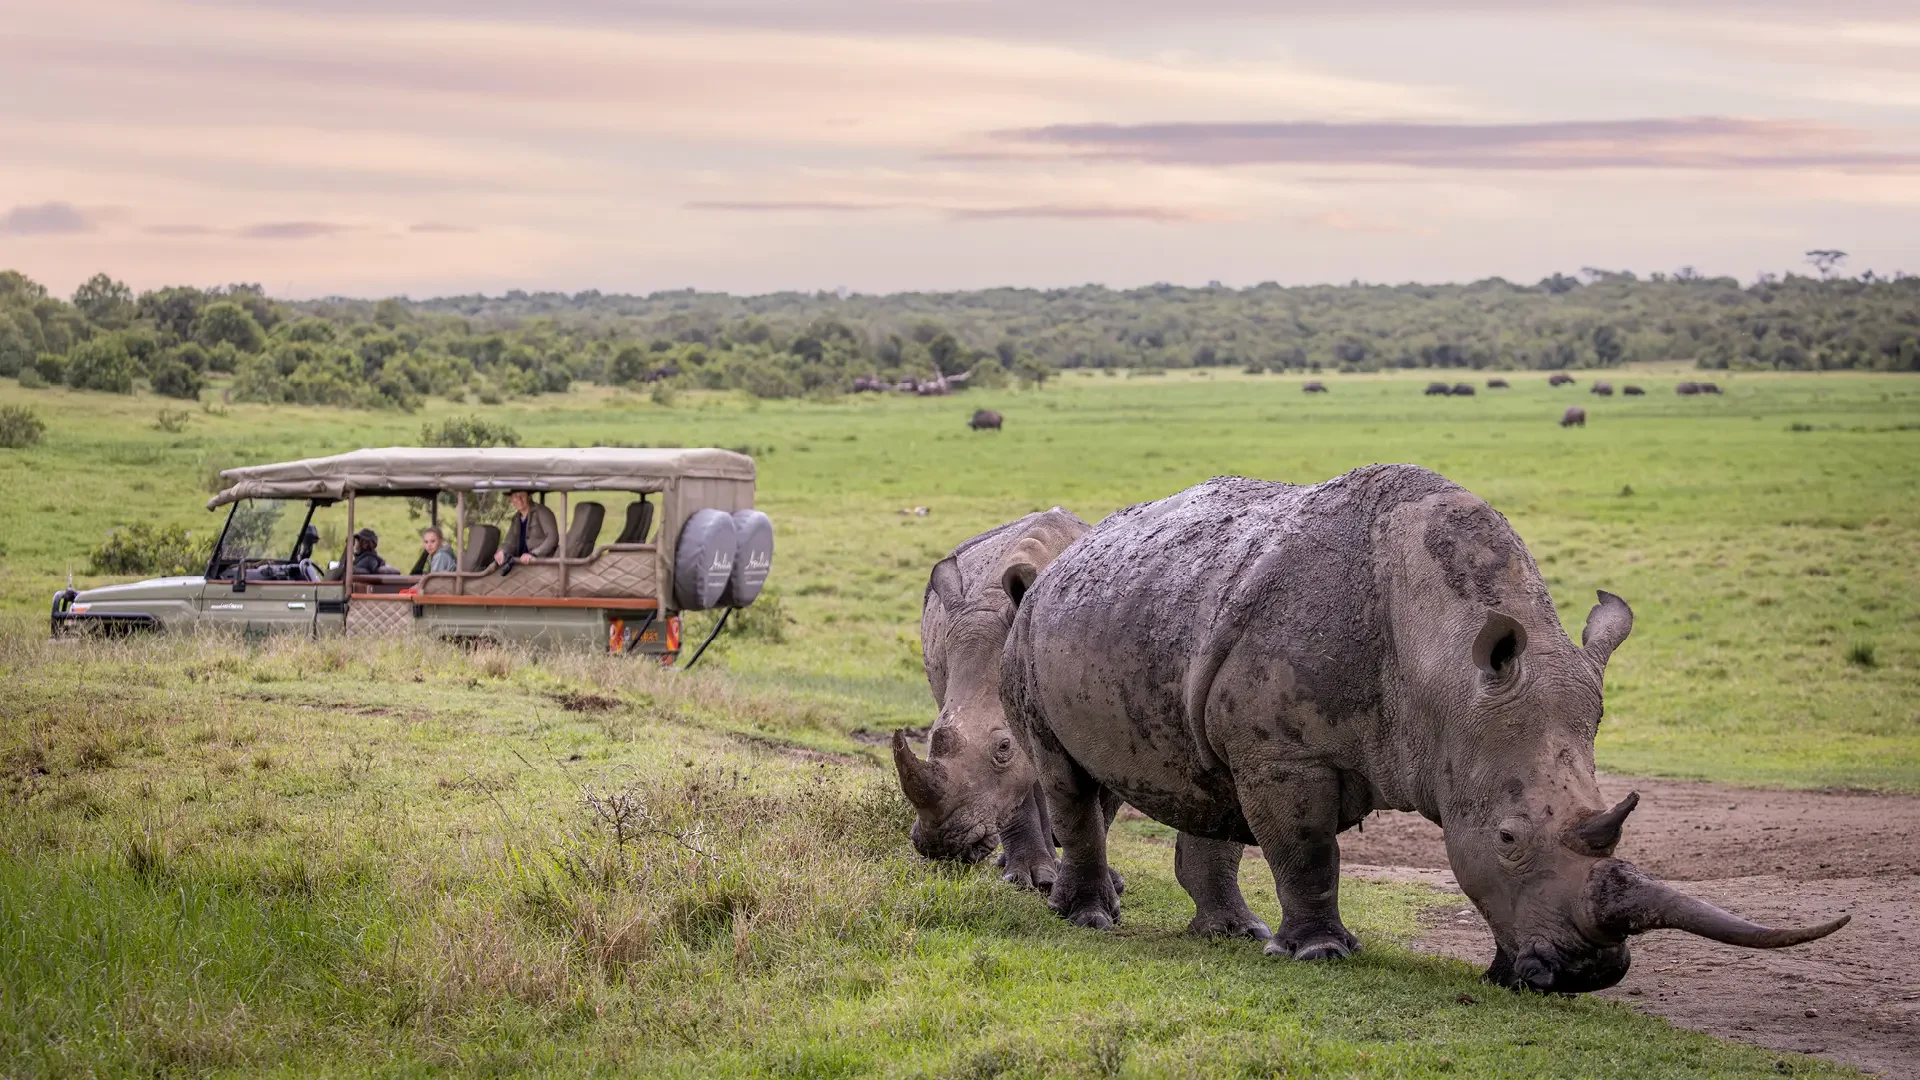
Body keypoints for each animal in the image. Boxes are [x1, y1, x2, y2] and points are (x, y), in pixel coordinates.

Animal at [1002, 465, 1846, 992]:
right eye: (1508, 837)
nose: (1587, 976)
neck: (1442, 673)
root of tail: (1064, 559)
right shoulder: (1287, 755)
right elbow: (1307, 852)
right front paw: (1321, 955)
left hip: (1151, 612)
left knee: (1203, 784)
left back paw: (1233, 936)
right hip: (1033, 628)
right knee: (1066, 776)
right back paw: (1089, 921)